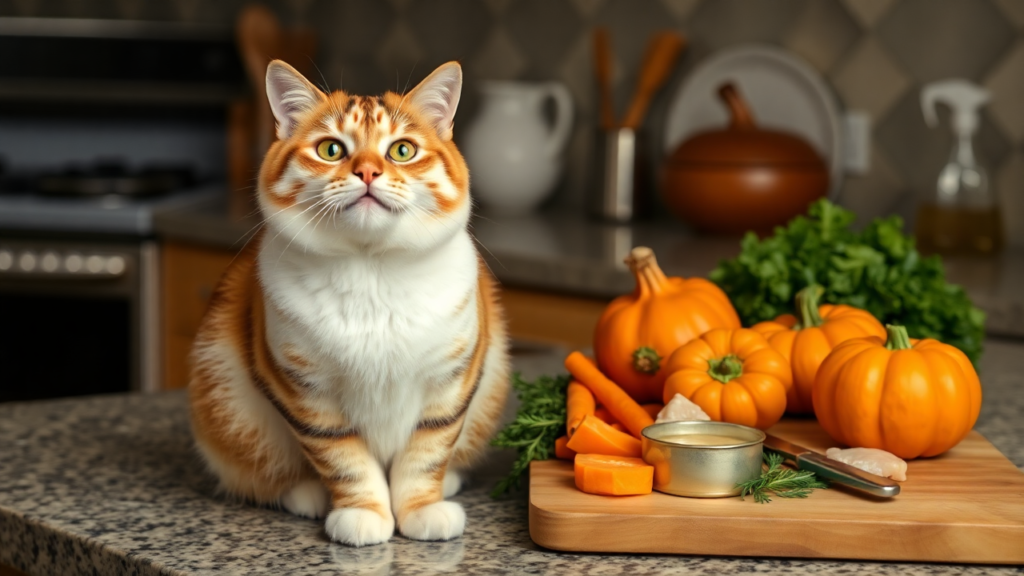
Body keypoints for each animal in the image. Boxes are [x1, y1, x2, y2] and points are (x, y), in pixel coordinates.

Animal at [188, 60, 507, 545]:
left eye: (402, 150)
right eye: (332, 149)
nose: (369, 173)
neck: (371, 271)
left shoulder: (451, 382)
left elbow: (427, 453)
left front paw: (422, 508)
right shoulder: (304, 391)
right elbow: (343, 460)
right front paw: (363, 514)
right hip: (227, 403)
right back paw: (305, 494)